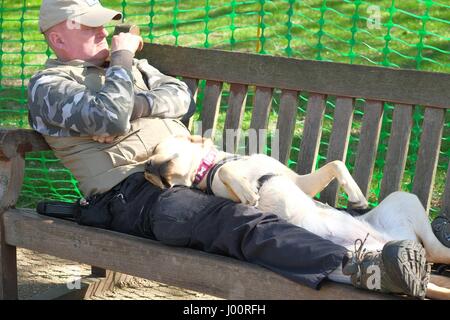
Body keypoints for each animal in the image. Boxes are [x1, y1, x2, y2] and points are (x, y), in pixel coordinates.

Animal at [146, 134, 448, 298]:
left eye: (155, 148)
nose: (148, 167)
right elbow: (226, 174)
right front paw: (247, 191)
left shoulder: (301, 182)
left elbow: (336, 163)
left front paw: (357, 196)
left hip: (404, 200)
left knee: (437, 251)